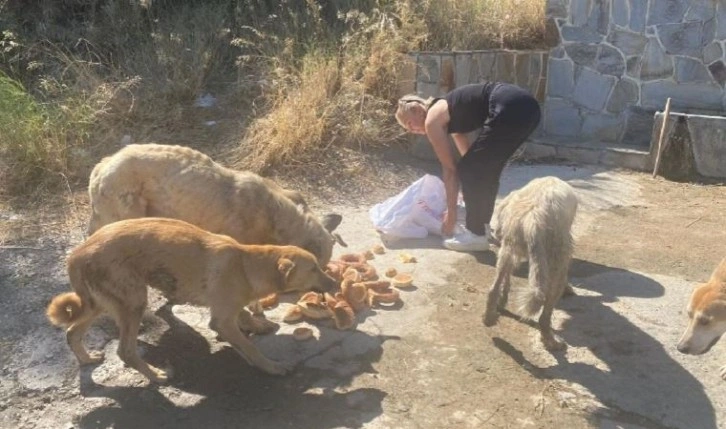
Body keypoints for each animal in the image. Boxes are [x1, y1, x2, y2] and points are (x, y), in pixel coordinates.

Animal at [47, 217, 336, 382]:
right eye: (313, 269)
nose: (334, 284)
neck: (245, 263)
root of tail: (76, 255)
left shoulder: (226, 309)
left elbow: (244, 316)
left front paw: (258, 325)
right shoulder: (221, 320)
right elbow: (250, 347)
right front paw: (271, 367)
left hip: (100, 304)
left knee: (72, 333)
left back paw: (86, 359)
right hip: (133, 302)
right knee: (125, 351)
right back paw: (156, 376)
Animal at [484, 176, 580, 350]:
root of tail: (533, 220)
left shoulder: (511, 251)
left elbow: (506, 280)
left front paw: (502, 301)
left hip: (508, 251)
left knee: (493, 287)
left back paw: (489, 317)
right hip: (558, 262)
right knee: (545, 313)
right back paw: (551, 341)